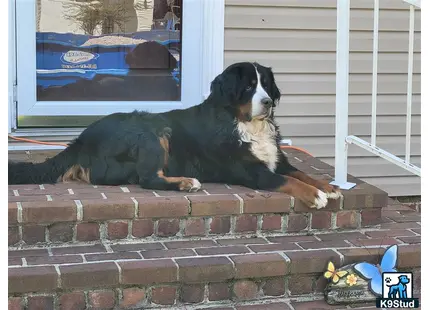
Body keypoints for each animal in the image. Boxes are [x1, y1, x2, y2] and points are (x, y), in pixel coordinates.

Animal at [8, 61, 340, 209]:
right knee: (146, 179)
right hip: (153, 132)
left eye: (266, 85)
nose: (268, 102)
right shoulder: (252, 171)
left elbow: (301, 172)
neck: (244, 123)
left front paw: (328, 186)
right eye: (248, 87)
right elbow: (287, 181)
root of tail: (82, 139)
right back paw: (185, 182)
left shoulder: (278, 160)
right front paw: (315, 195)